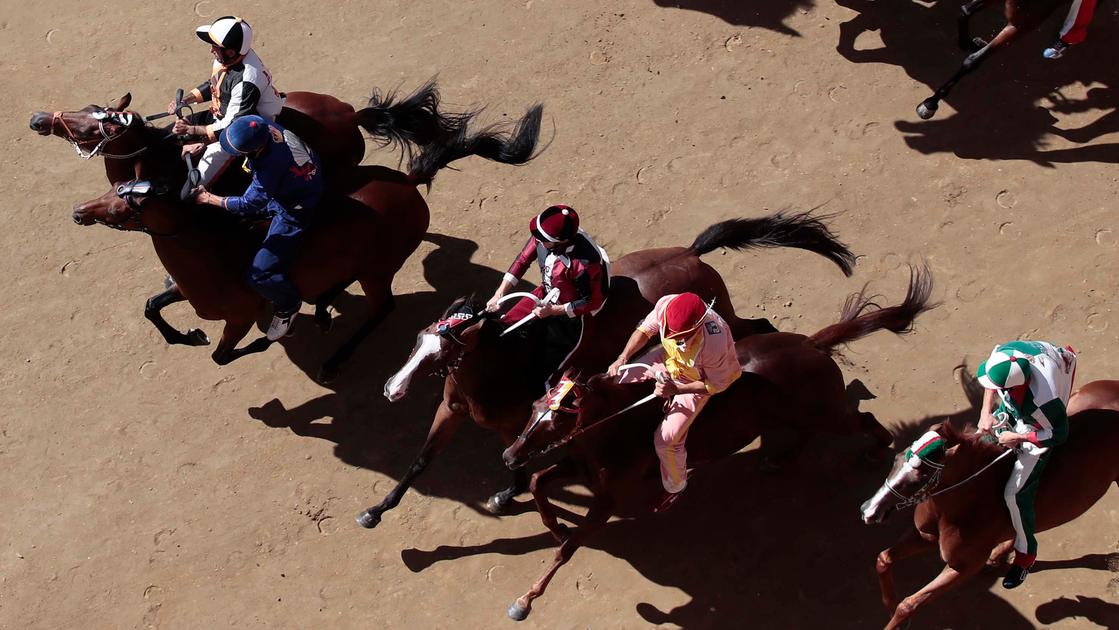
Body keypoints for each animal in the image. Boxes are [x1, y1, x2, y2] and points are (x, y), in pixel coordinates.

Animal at [34, 87, 541, 373]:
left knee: (382, 307)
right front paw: (189, 335)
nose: (39, 119)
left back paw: (333, 352)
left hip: (376, 267)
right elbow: (151, 307)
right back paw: (321, 308)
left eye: (93, 125)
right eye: (84, 110)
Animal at [358, 214, 854, 530]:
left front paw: (506, 493)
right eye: (419, 338)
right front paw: (376, 510)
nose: (390, 388)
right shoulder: (451, 411)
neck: (498, 361)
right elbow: (420, 461)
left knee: (758, 331)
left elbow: (519, 460)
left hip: (720, 320)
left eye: (445, 349)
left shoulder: (515, 422)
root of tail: (692, 252)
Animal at [501, 266, 935, 622]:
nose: (508, 455)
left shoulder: (608, 498)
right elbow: (539, 481)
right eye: (534, 408)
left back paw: (876, 450)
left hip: (828, 412)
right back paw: (780, 459)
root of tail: (811, 344)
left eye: (555, 420)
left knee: (861, 421)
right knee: (808, 433)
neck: (614, 423)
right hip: (797, 414)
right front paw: (554, 526)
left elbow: (568, 548)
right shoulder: (581, 465)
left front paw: (524, 600)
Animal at [854, 380, 1119, 630]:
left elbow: (910, 604)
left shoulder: (963, 566)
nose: (869, 511)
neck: (966, 501)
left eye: (920, 477)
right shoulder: (924, 535)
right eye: (897, 458)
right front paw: (890, 605)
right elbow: (883, 559)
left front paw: (898, 616)